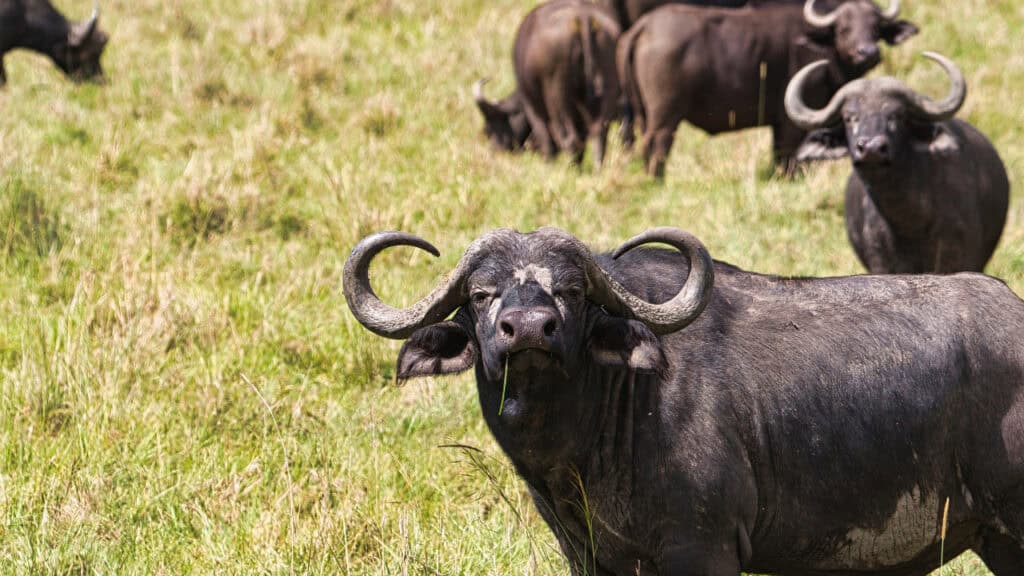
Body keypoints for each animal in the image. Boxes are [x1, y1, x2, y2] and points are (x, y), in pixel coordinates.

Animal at [473, 0, 622, 166]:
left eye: (488, 130)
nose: (495, 151)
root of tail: (582, 17)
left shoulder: (532, 106)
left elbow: (546, 137)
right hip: (607, 88)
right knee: (598, 134)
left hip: (556, 98)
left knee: (569, 139)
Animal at [618, 0, 917, 177]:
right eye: (844, 28)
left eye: (876, 27)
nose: (868, 52)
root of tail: (645, 25)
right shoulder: (791, 122)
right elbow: (788, 156)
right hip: (665, 118)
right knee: (657, 145)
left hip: (643, 113)